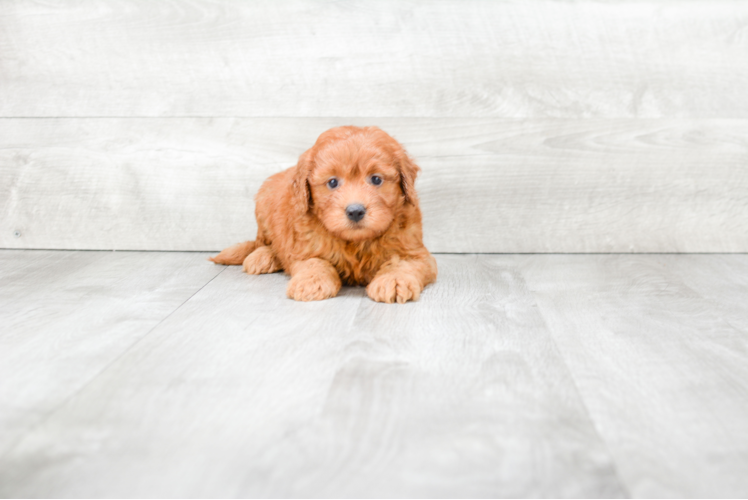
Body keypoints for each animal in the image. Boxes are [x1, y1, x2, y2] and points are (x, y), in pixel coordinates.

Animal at [207, 127, 436, 302]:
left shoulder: (416, 252)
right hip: (263, 206)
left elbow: (403, 264)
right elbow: (315, 263)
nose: (355, 211)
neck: (355, 242)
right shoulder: (304, 249)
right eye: (332, 182)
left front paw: (394, 281)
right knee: (263, 243)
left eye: (376, 179)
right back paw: (263, 257)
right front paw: (311, 282)